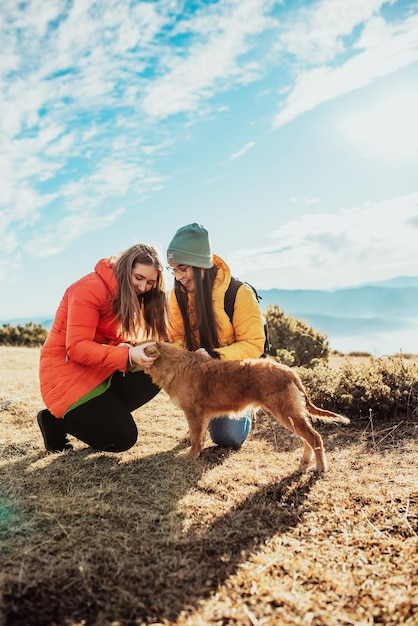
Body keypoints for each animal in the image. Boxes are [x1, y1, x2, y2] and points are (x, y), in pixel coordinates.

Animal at [144, 342, 350, 468]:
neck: (177, 365)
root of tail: (289, 371)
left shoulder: (194, 413)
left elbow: (195, 438)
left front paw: (190, 456)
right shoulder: (201, 416)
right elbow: (198, 437)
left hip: (286, 413)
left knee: (314, 437)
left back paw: (320, 467)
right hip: (293, 416)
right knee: (307, 437)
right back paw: (305, 462)